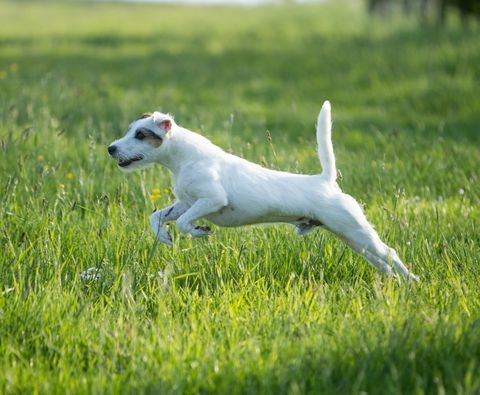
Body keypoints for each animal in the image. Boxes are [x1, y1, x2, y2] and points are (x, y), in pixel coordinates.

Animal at [108, 102, 416, 282]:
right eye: (130, 131)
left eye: (140, 135)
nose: (111, 148)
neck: (184, 157)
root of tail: (326, 181)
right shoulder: (185, 202)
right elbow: (157, 217)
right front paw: (163, 236)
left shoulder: (211, 200)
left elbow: (184, 223)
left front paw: (199, 231)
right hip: (351, 238)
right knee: (382, 261)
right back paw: (394, 282)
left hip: (356, 230)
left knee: (390, 252)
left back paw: (412, 282)